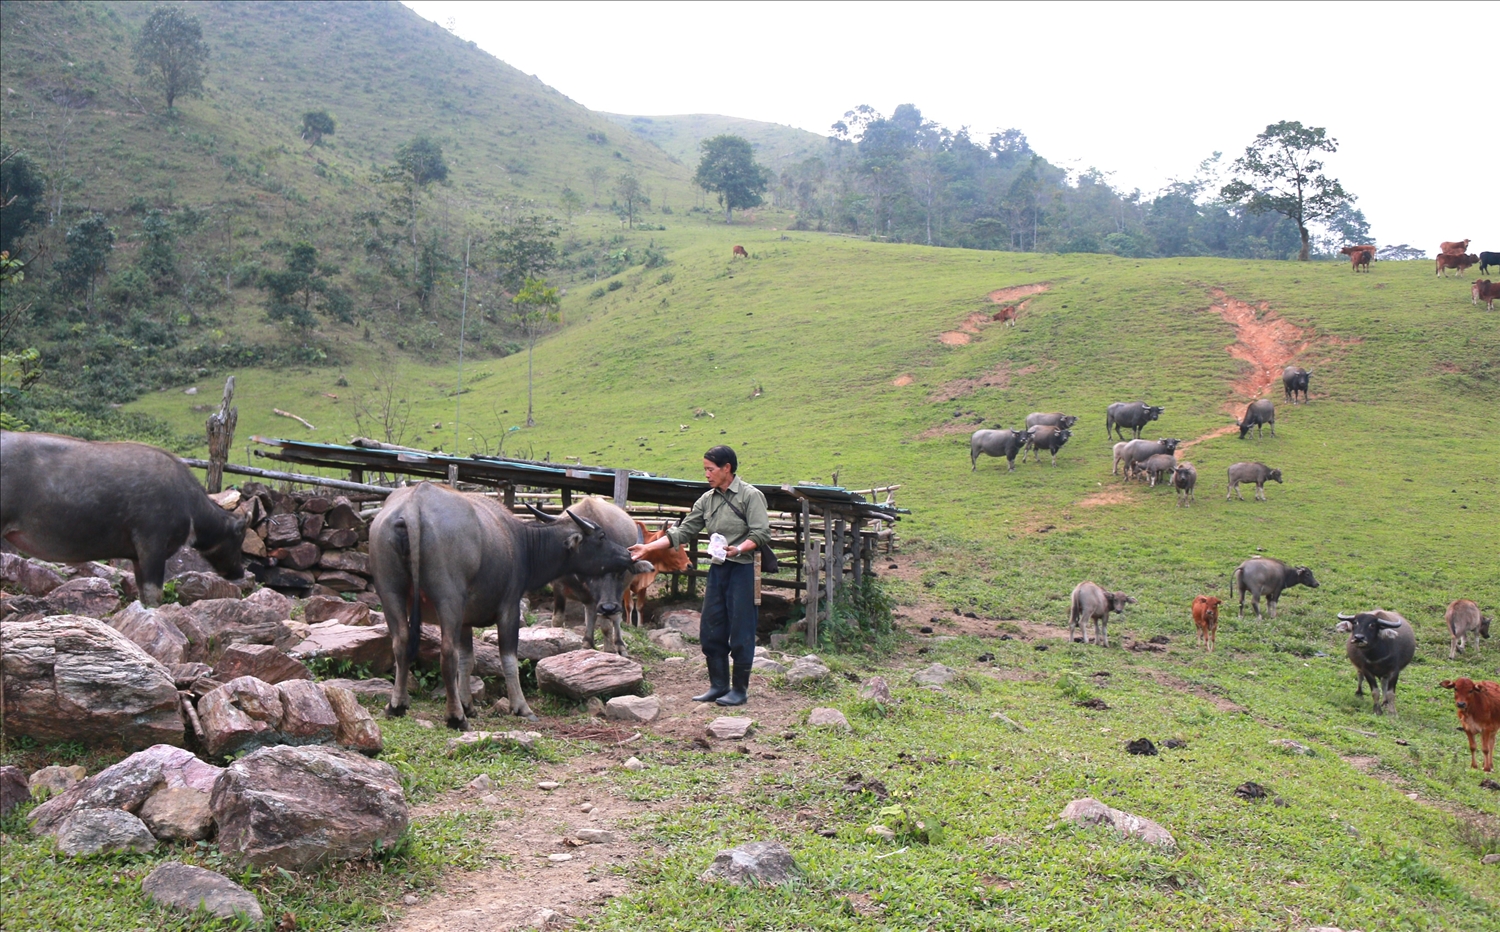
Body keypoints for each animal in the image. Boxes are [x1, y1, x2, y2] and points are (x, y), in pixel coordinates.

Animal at [0, 429, 246, 603]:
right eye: (239, 538)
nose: (239, 572)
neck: (188, 504)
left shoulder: (137, 557)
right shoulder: (152, 545)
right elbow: (154, 595)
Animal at [372, 480, 642, 726]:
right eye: (601, 536)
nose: (627, 554)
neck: (522, 544)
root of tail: (413, 507)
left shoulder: (466, 620)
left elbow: (467, 661)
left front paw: (468, 704)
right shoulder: (509, 608)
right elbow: (509, 659)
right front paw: (520, 707)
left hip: (390, 593)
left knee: (401, 643)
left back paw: (397, 705)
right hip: (448, 599)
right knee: (447, 654)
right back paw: (455, 717)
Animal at [540, 498, 657, 657]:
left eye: (621, 571)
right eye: (593, 569)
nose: (609, 607)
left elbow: (607, 625)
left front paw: (609, 650)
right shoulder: (559, 585)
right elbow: (557, 620)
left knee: (614, 618)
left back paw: (619, 646)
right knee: (591, 610)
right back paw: (587, 643)